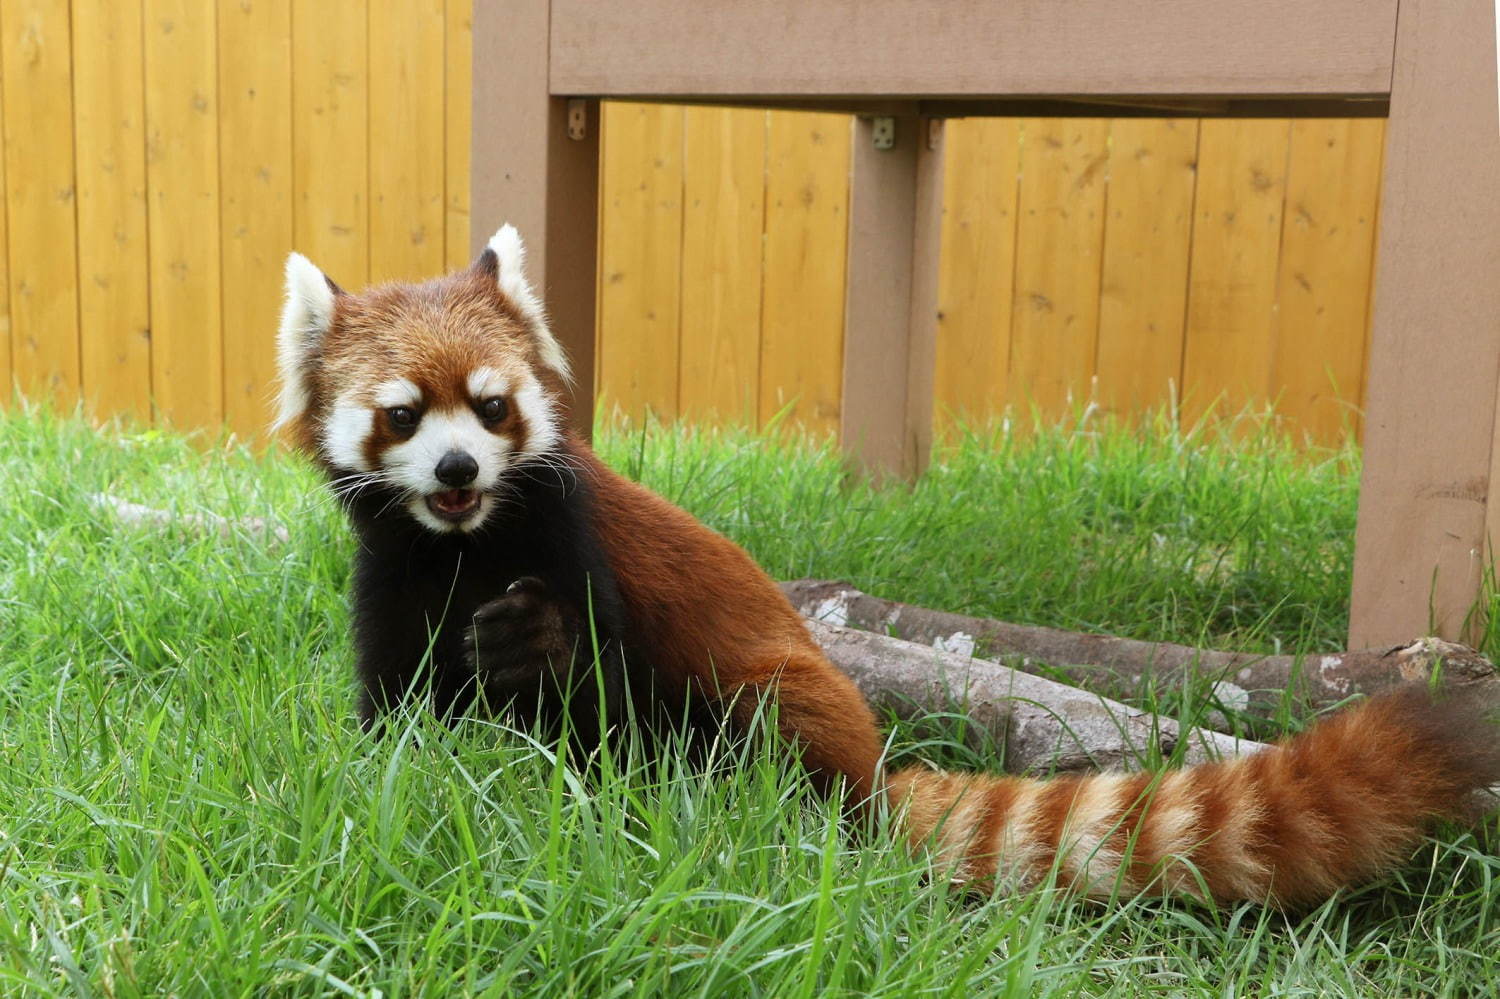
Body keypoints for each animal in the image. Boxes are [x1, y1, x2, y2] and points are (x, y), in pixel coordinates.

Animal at [273, 223, 1500, 900]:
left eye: (490, 405)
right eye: (402, 415)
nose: (456, 469)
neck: (466, 550)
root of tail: (868, 785)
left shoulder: (572, 540)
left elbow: (603, 686)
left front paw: (535, 648)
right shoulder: (390, 580)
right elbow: (397, 710)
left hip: (785, 704)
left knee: (726, 733)